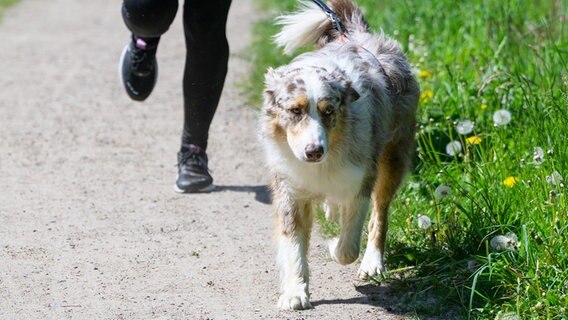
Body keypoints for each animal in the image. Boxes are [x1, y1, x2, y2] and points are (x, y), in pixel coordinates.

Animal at [260, 0, 420, 310]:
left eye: (329, 111)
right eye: (295, 110)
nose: (314, 151)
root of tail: (357, 35)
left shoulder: (360, 179)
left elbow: (348, 245)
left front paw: (334, 245)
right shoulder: (289, 188)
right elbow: (293, 244)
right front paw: (295, 292)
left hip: (393, 155)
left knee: (380, 213)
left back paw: (372, 262)